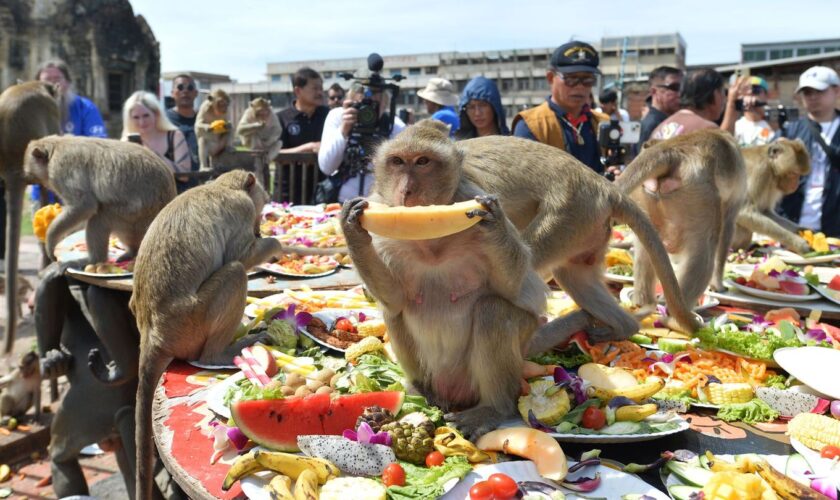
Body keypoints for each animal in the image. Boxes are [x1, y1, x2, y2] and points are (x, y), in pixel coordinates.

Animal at [23, 133, 178, 266]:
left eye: (29, 171)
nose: (27, 179)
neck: (56, 147)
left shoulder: (61, 169)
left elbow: (84, 206)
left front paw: (50, 239)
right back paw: (132, 251)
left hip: (135, 216)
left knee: (100, 218)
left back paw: (93, 260)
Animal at [340, 120, 592, 438]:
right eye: (397, 162)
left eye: (422, 162)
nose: (407, 190)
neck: (431, 239)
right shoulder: (382, 229)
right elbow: (394, 297)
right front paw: (352, 228)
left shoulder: (472, 193)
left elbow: (516, 289)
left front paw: (494, 222)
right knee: (396, 312)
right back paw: (422, 390)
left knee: (494, 311)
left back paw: (492, 408)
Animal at [612, 129, 744, 308]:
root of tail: (671, 149)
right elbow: (727, 229)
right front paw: (718, 285)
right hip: (699, 194)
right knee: (705, 250)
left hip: (646, 195)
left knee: (647, 246)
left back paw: (643, 302)